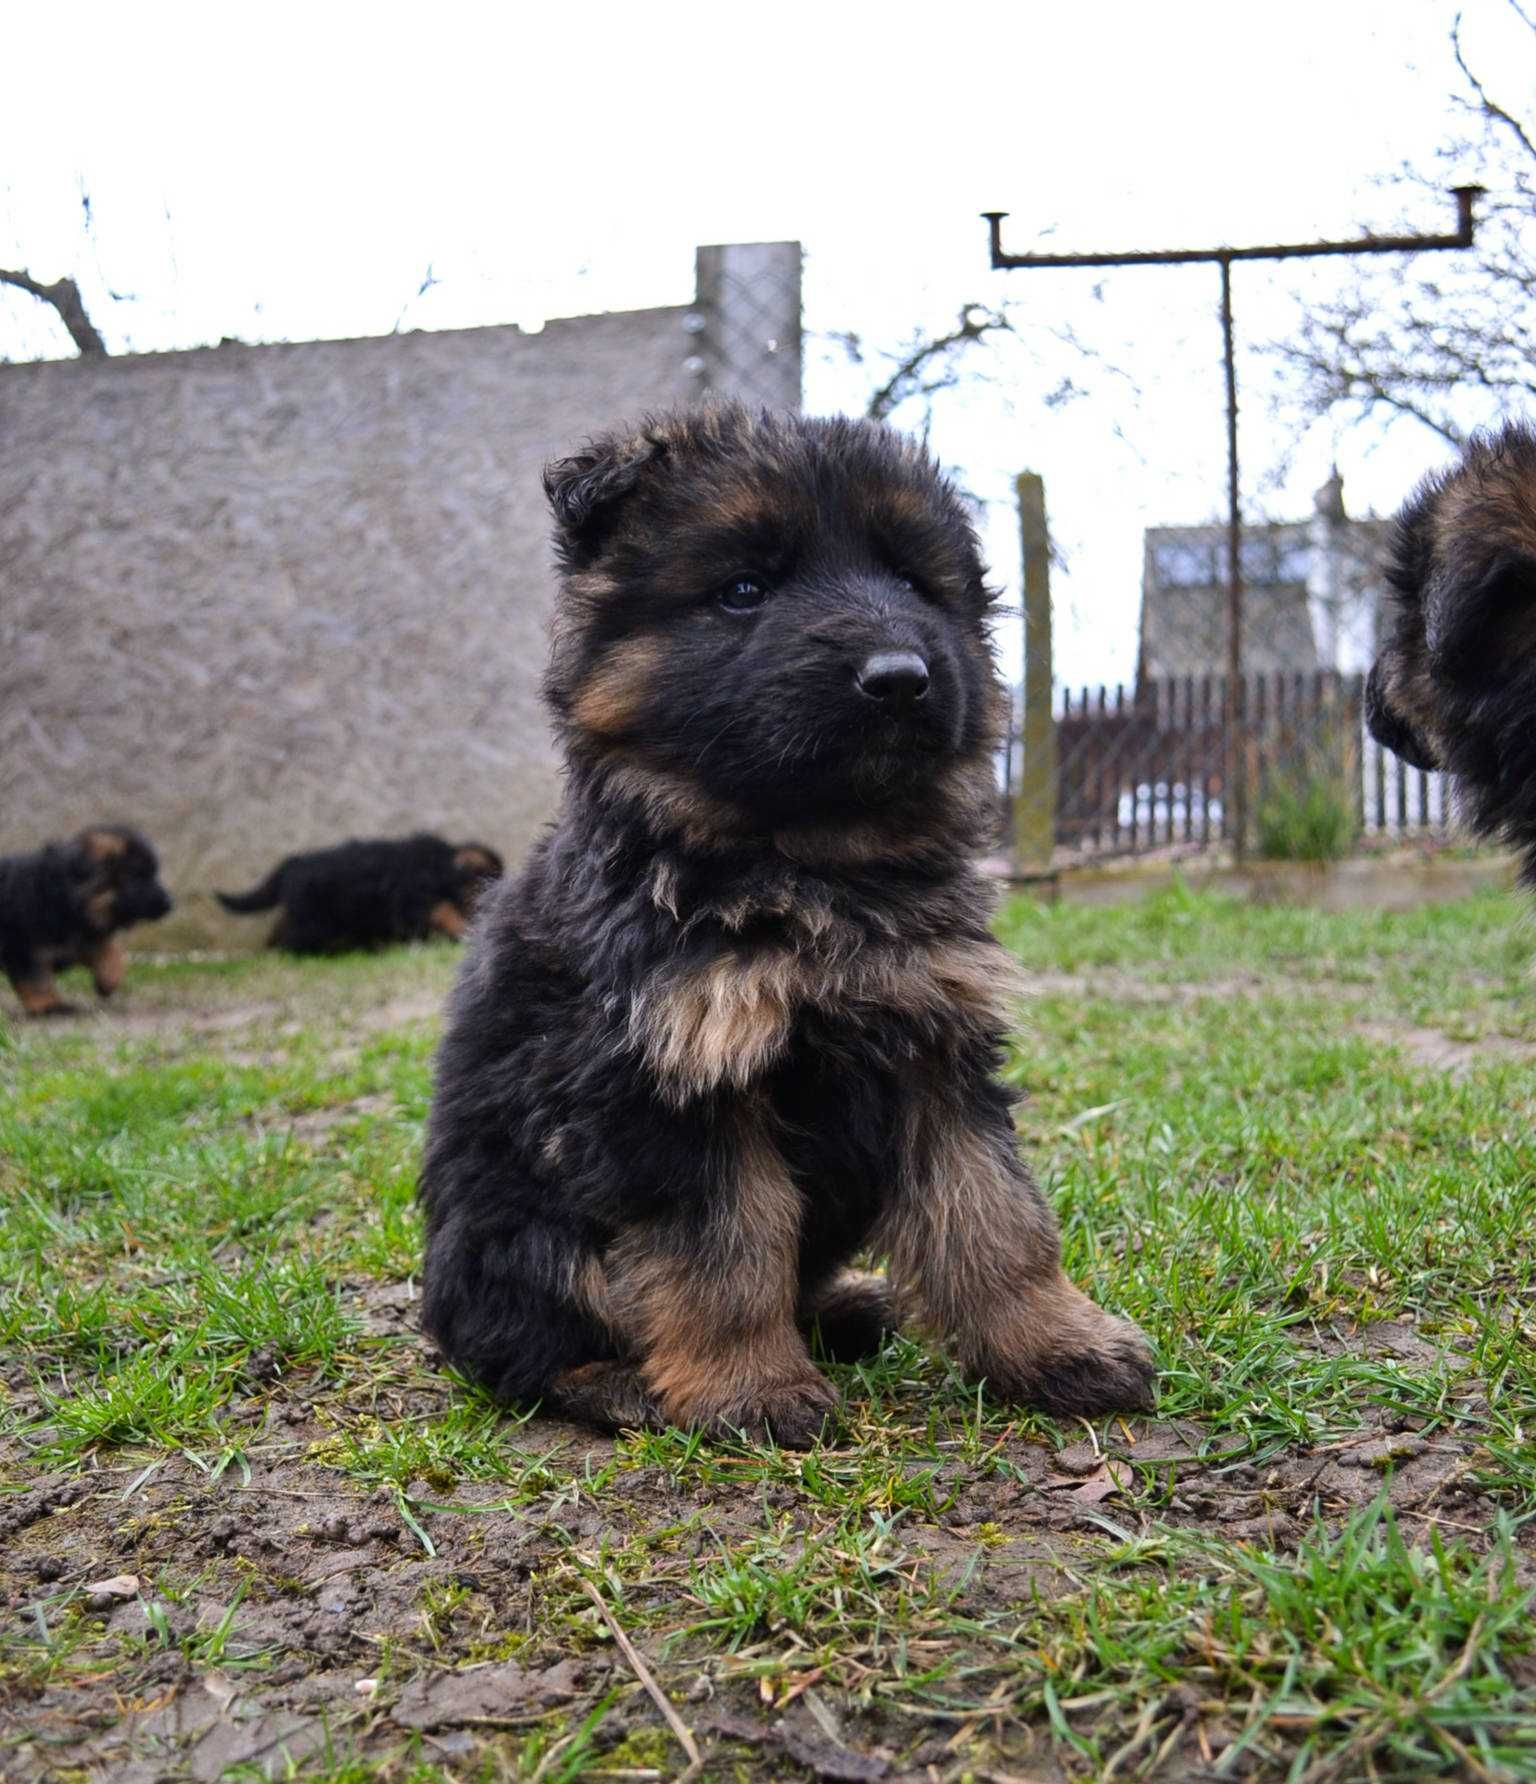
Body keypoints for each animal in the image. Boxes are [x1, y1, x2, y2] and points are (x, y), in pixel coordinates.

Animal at [0, 824, 174, 1020]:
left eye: (153, 873)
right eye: (136, 877)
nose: (170, 903)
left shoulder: (88, 938)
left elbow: (109, 951)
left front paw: (109, 980)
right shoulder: (22, 949)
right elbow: (36, 981)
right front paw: (49, 1006)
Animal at [217, 831, 503, 956]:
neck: (441, 868)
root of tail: (292, 864)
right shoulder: (415, 901)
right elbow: (442, 916)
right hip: (315, 919)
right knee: (294, 937)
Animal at [415, 408, 1148, 1448]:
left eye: (914, 583)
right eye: (743, 590)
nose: (900, 678)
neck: (809, 868)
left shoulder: (937, 1041)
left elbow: (997, 1215)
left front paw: (1055, 1345)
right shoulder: (677, 1075)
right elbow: (726, 1248)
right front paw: (747, 1390)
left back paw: (849, 1306)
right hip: (516, 1227)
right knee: (519, 1348)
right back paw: (624, 1384)